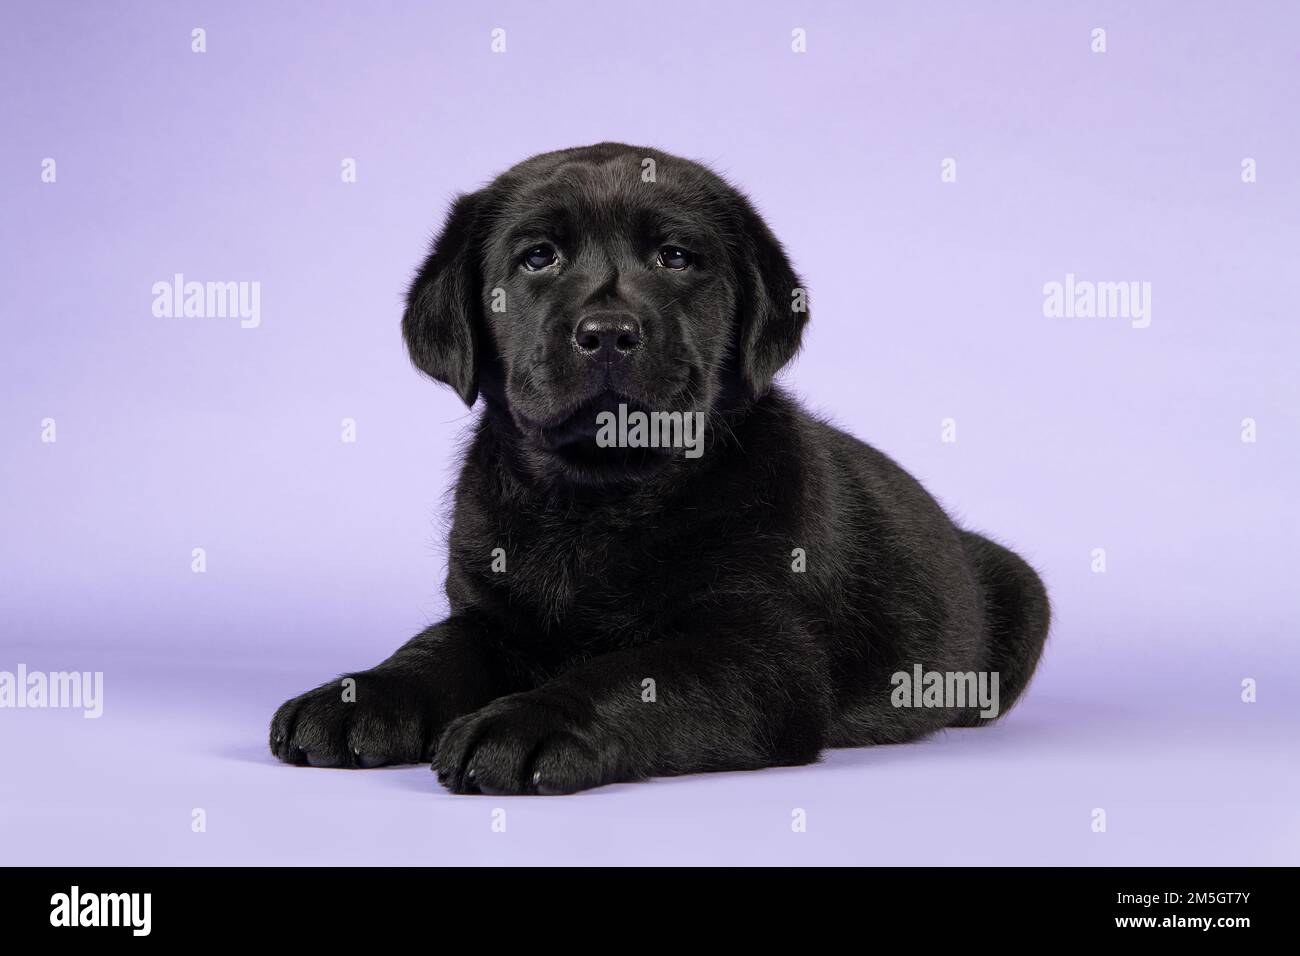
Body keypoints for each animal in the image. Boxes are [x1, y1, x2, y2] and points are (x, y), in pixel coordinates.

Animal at [269, 141, 1050, 796]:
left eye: (675, 258)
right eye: (538, 257)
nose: (609, 333)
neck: (598, 496)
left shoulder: (760, 653)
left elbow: (629, 673)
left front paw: (528, 721)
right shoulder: (487, 614)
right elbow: (433, 649)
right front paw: (356, 695)